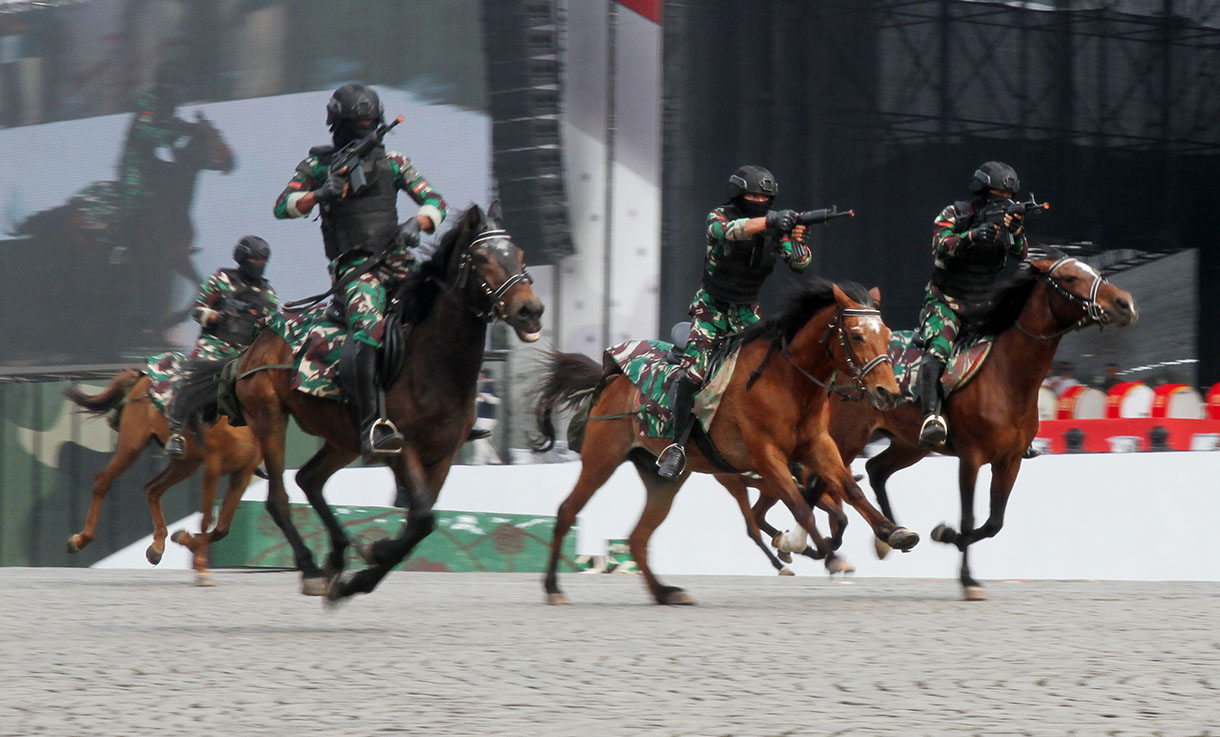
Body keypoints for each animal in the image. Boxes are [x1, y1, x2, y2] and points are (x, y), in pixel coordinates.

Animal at [2, 112, 233, 363]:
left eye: (219, 133)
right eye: (209, 136)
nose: (232, 160)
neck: (171, 200)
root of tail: (69, 207)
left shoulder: (176, 257)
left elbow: (192, 285)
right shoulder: (154, 261)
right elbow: (153, 298)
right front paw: (156, 335)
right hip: (83, 264)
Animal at [62, 368, 262, 588]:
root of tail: (143, 376)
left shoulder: (242, 473)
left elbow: (222, 528)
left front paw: (185, 540)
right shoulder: (213, 465)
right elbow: (207, 520)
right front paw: (200, 567)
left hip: (186, 462)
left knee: (153, 488)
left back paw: (157, 546)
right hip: (132, 444)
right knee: (103, 481)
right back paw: (81, 539)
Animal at [180, 201, 544, 597]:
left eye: (519, 255)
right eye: (481, 258)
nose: (530, 311)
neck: (433, 363)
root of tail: (254, 347)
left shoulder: (444, 455)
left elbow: (421, 521)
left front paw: (370, 561)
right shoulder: (401, 448)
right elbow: (421, 518)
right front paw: (373, 556)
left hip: (344, 439)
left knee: (309, 479)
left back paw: (338, 552)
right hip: (270, 419)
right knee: (278, 498)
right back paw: (310, 567)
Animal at [534, 280, 917, 605]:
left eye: (886, 335)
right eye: (856, 335)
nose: (888, 392)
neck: (787, 381)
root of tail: (611, 379)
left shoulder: (818, 447)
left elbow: (849, 495)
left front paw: (893, 533)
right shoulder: (766, 456)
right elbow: (801, 507)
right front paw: (821, 553)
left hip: (662, 479)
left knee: (638, 537)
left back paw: (665, 592)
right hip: (603, 457)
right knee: (567, 510)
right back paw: (553, 587)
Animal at [756, 253, 1137, 597]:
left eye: (1095, 271)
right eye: (1070, 278)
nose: (1124, 303)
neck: (1007, 376)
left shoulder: (1009, 460)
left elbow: (994, 522)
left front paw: (946, 538)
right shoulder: (971, 456)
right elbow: (969, 518)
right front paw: (966, 577)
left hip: (908, 444)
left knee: (872, 471)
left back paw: (883, 536)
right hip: (846, 438)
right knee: (818, 484)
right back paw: (804, 541)